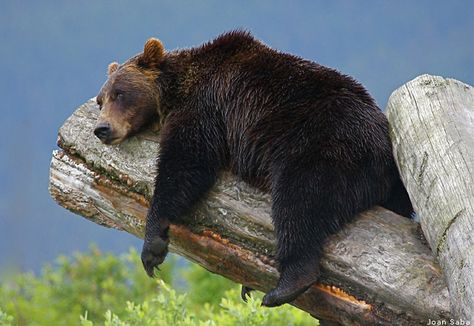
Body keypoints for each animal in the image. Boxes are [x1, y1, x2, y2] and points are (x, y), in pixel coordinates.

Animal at [92, 29, 412, 306]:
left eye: (120, 93)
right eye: (100, 99)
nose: (101, 129)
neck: (175, 90)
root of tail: (385, 147)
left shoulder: (204, 107)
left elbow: (186, 164)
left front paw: (152, 247)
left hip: (322, 148)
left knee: (299, 204)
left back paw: (283, 286)